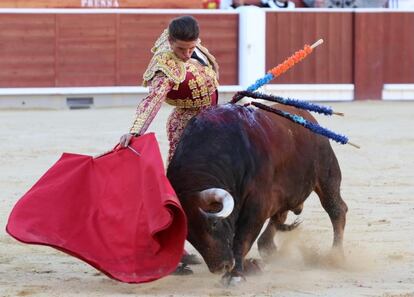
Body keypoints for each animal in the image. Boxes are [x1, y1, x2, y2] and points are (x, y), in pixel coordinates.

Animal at [167, 102, 348, 284]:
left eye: (214, 223)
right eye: (188, 235)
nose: (221, 267)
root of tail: (307, 117)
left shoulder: (257, 204)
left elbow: (242, 238)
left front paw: (235, 275)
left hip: (326, 174)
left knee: (336, 209)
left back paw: (336, 255)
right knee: (279, 216)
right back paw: (267, 248)